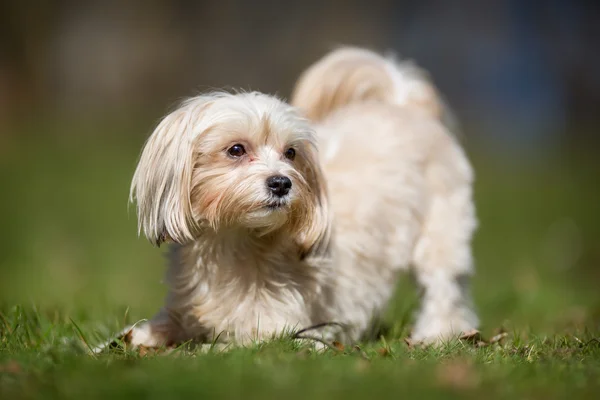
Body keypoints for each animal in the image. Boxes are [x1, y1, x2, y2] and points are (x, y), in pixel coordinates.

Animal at [120, 46, 478, 346]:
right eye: (236, 149)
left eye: (290, 153)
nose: (281, 183)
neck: (236, 243)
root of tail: (405, 105)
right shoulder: (183, 308)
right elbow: (152, 331)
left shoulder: (287, 333)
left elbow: (232, 346)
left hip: (441, 234)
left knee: (444, 288)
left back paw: (436, 335)